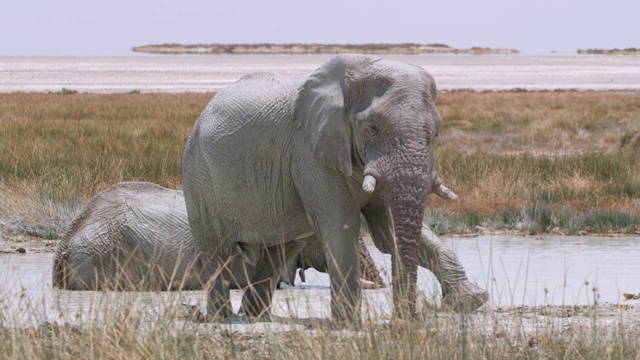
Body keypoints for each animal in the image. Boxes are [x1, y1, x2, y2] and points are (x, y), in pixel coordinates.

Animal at [182, 54, 488, 324]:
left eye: (434, 133)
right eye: (372, 128)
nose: (404, 319)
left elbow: (387, 233)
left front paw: (471, 300)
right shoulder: (310, 152)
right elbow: (341, 225)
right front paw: (347, 324)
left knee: (278, 252)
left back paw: (255, 317)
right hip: (198, 175)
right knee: (217, 250)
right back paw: (223, 317)